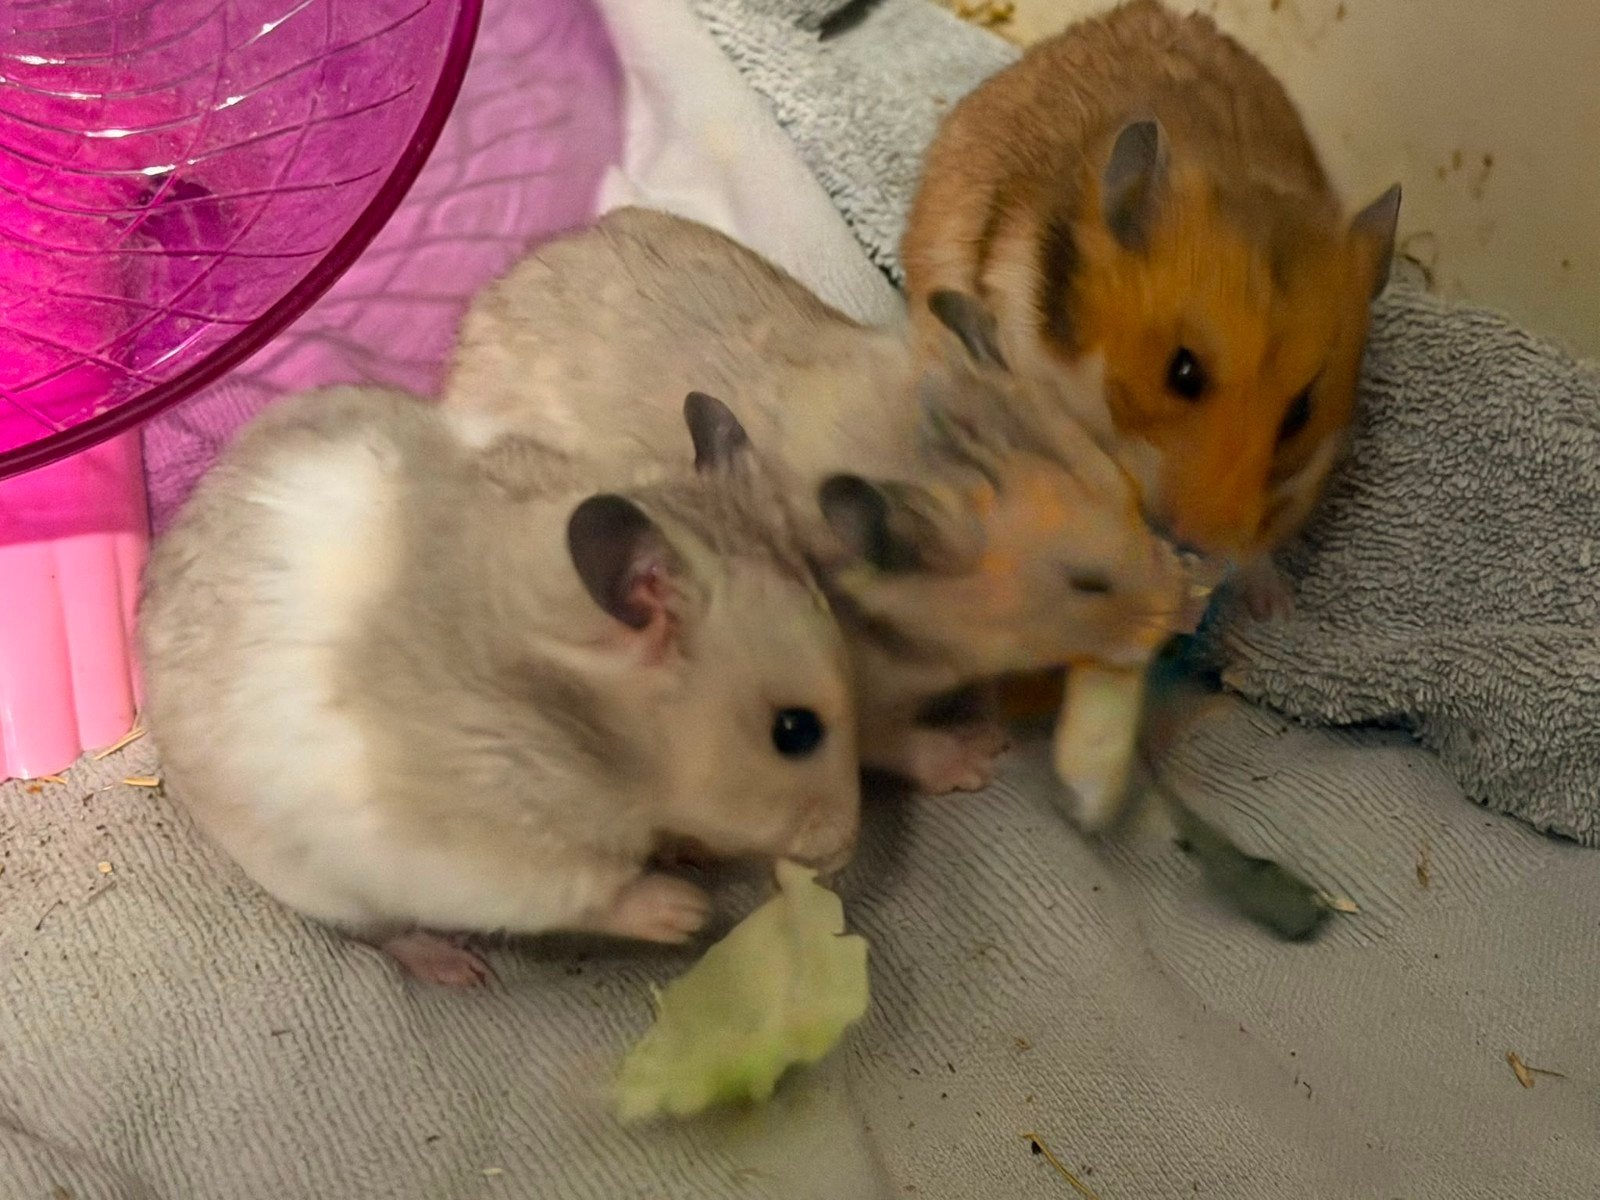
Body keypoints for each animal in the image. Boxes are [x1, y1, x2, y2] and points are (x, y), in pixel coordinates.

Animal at [138, 385, 860, 986]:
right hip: (320, 883)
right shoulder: (486, 861)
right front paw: (688, 911)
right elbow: (594, 893)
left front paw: (691, 858)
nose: (845, 853)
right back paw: (460, 970)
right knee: (388, 932)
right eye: (794, 731)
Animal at [444, 206, 1207, 797]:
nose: (1183, 619)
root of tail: (478, 313)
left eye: (1133, 497)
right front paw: (980, 754)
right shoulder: (853, 698)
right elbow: (895, 743)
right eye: (1087, 585)